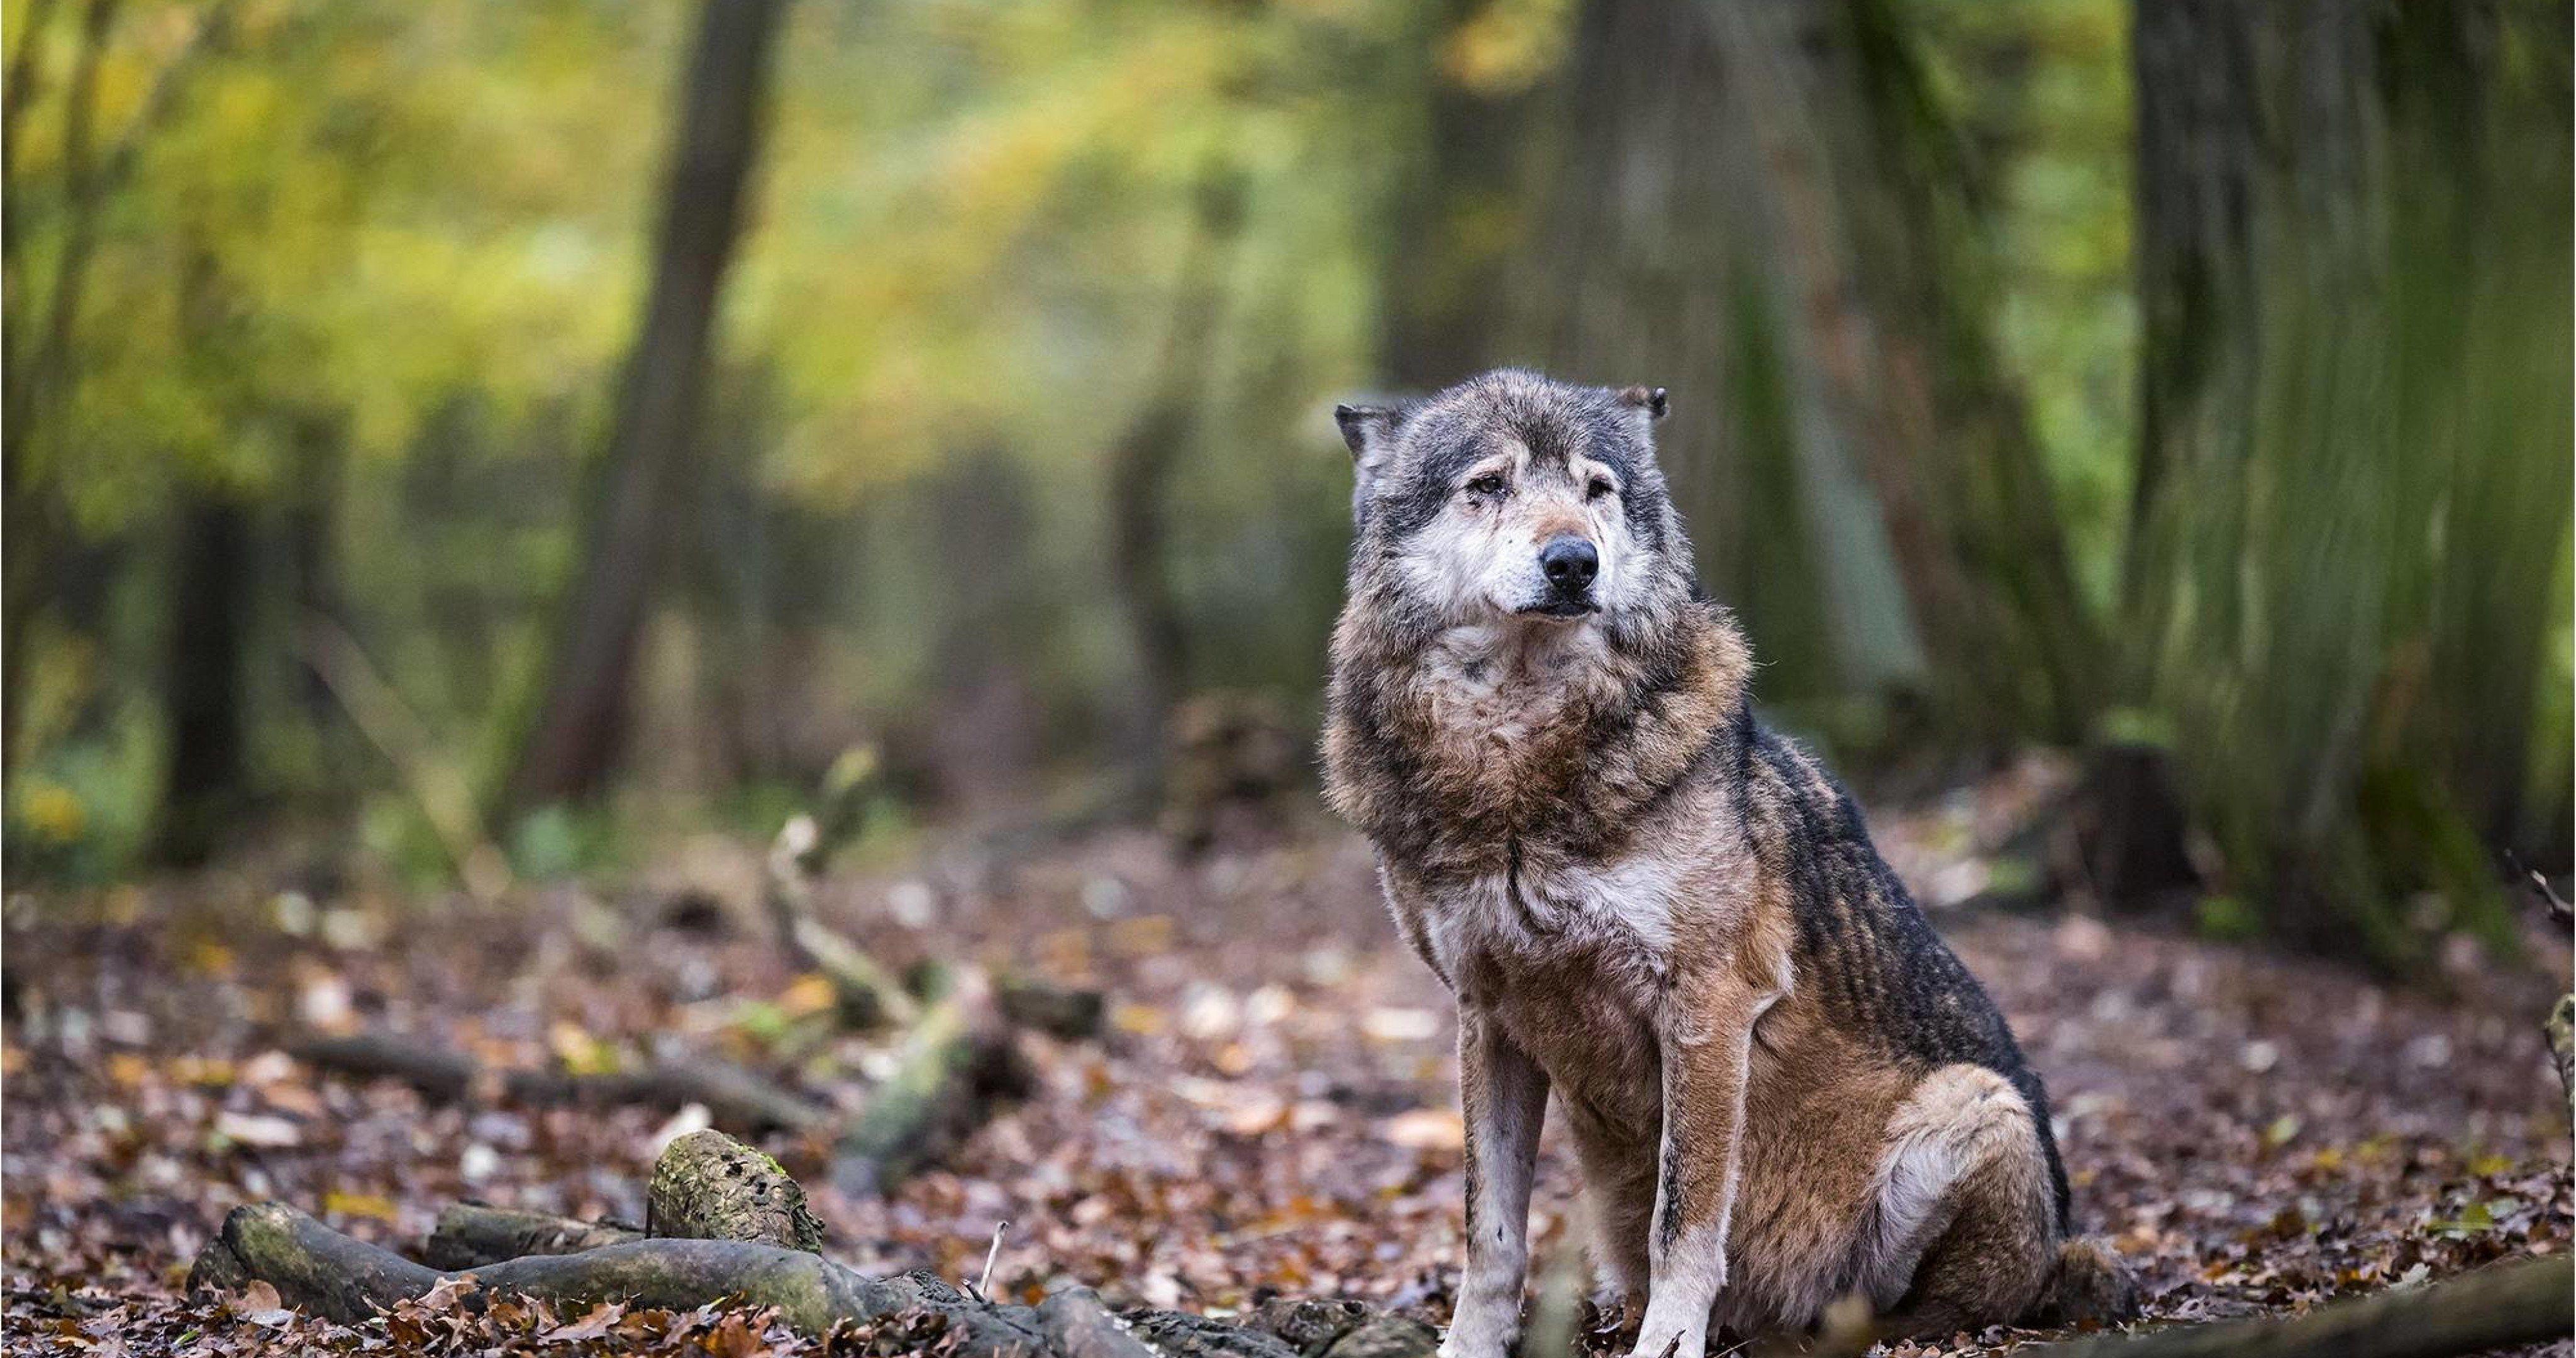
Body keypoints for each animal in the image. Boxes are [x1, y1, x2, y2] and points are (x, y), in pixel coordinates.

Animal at [1321, 371, 2136, 1358]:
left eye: (1596, 489)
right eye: (1488, 485)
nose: (1573, 562)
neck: (1519, 764)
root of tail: (2060, 1248)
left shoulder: (1706, 1002)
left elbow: (1686, 1214)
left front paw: (1669, 1343)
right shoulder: (1487, 1016)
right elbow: (1490, 1231)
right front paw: (1467, 1346)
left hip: (1980, 1106)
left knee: (1915, 1311)